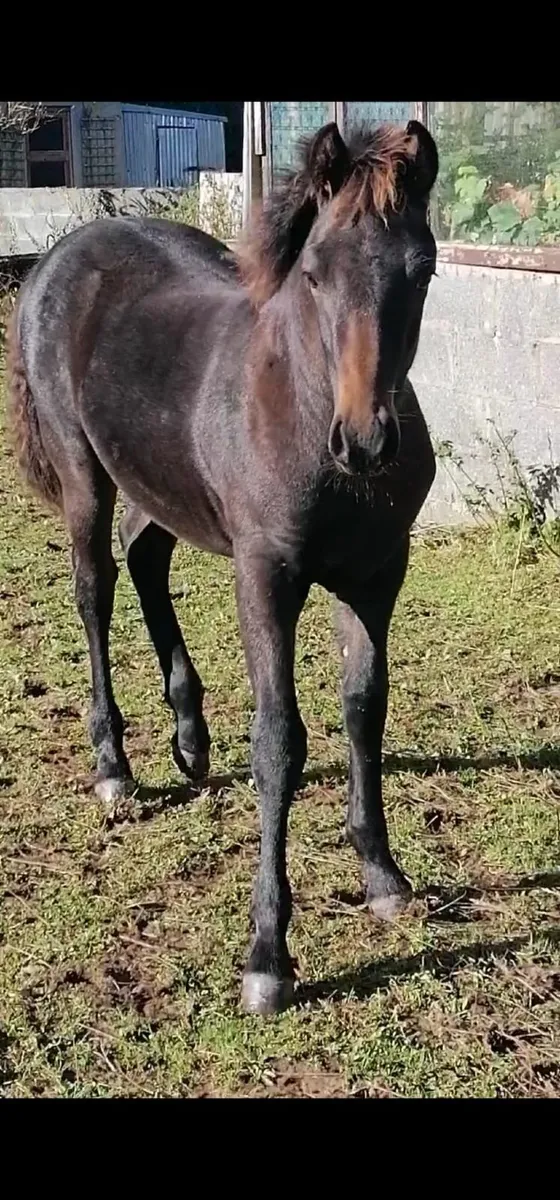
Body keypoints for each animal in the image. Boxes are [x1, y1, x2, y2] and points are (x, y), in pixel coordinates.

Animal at [7, 119, 439, 1015]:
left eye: (422, 269)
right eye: (314, 272)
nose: (365, 442)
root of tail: (64, 251)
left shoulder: (378, 575)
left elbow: (364, 712)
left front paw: (382, 875)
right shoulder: (264, 572)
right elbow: (280, 740)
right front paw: (268, 957)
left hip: (159, 478)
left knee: (144, 556)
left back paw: (190, 737)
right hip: (82, 472)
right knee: (94, 589)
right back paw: (115, 767)